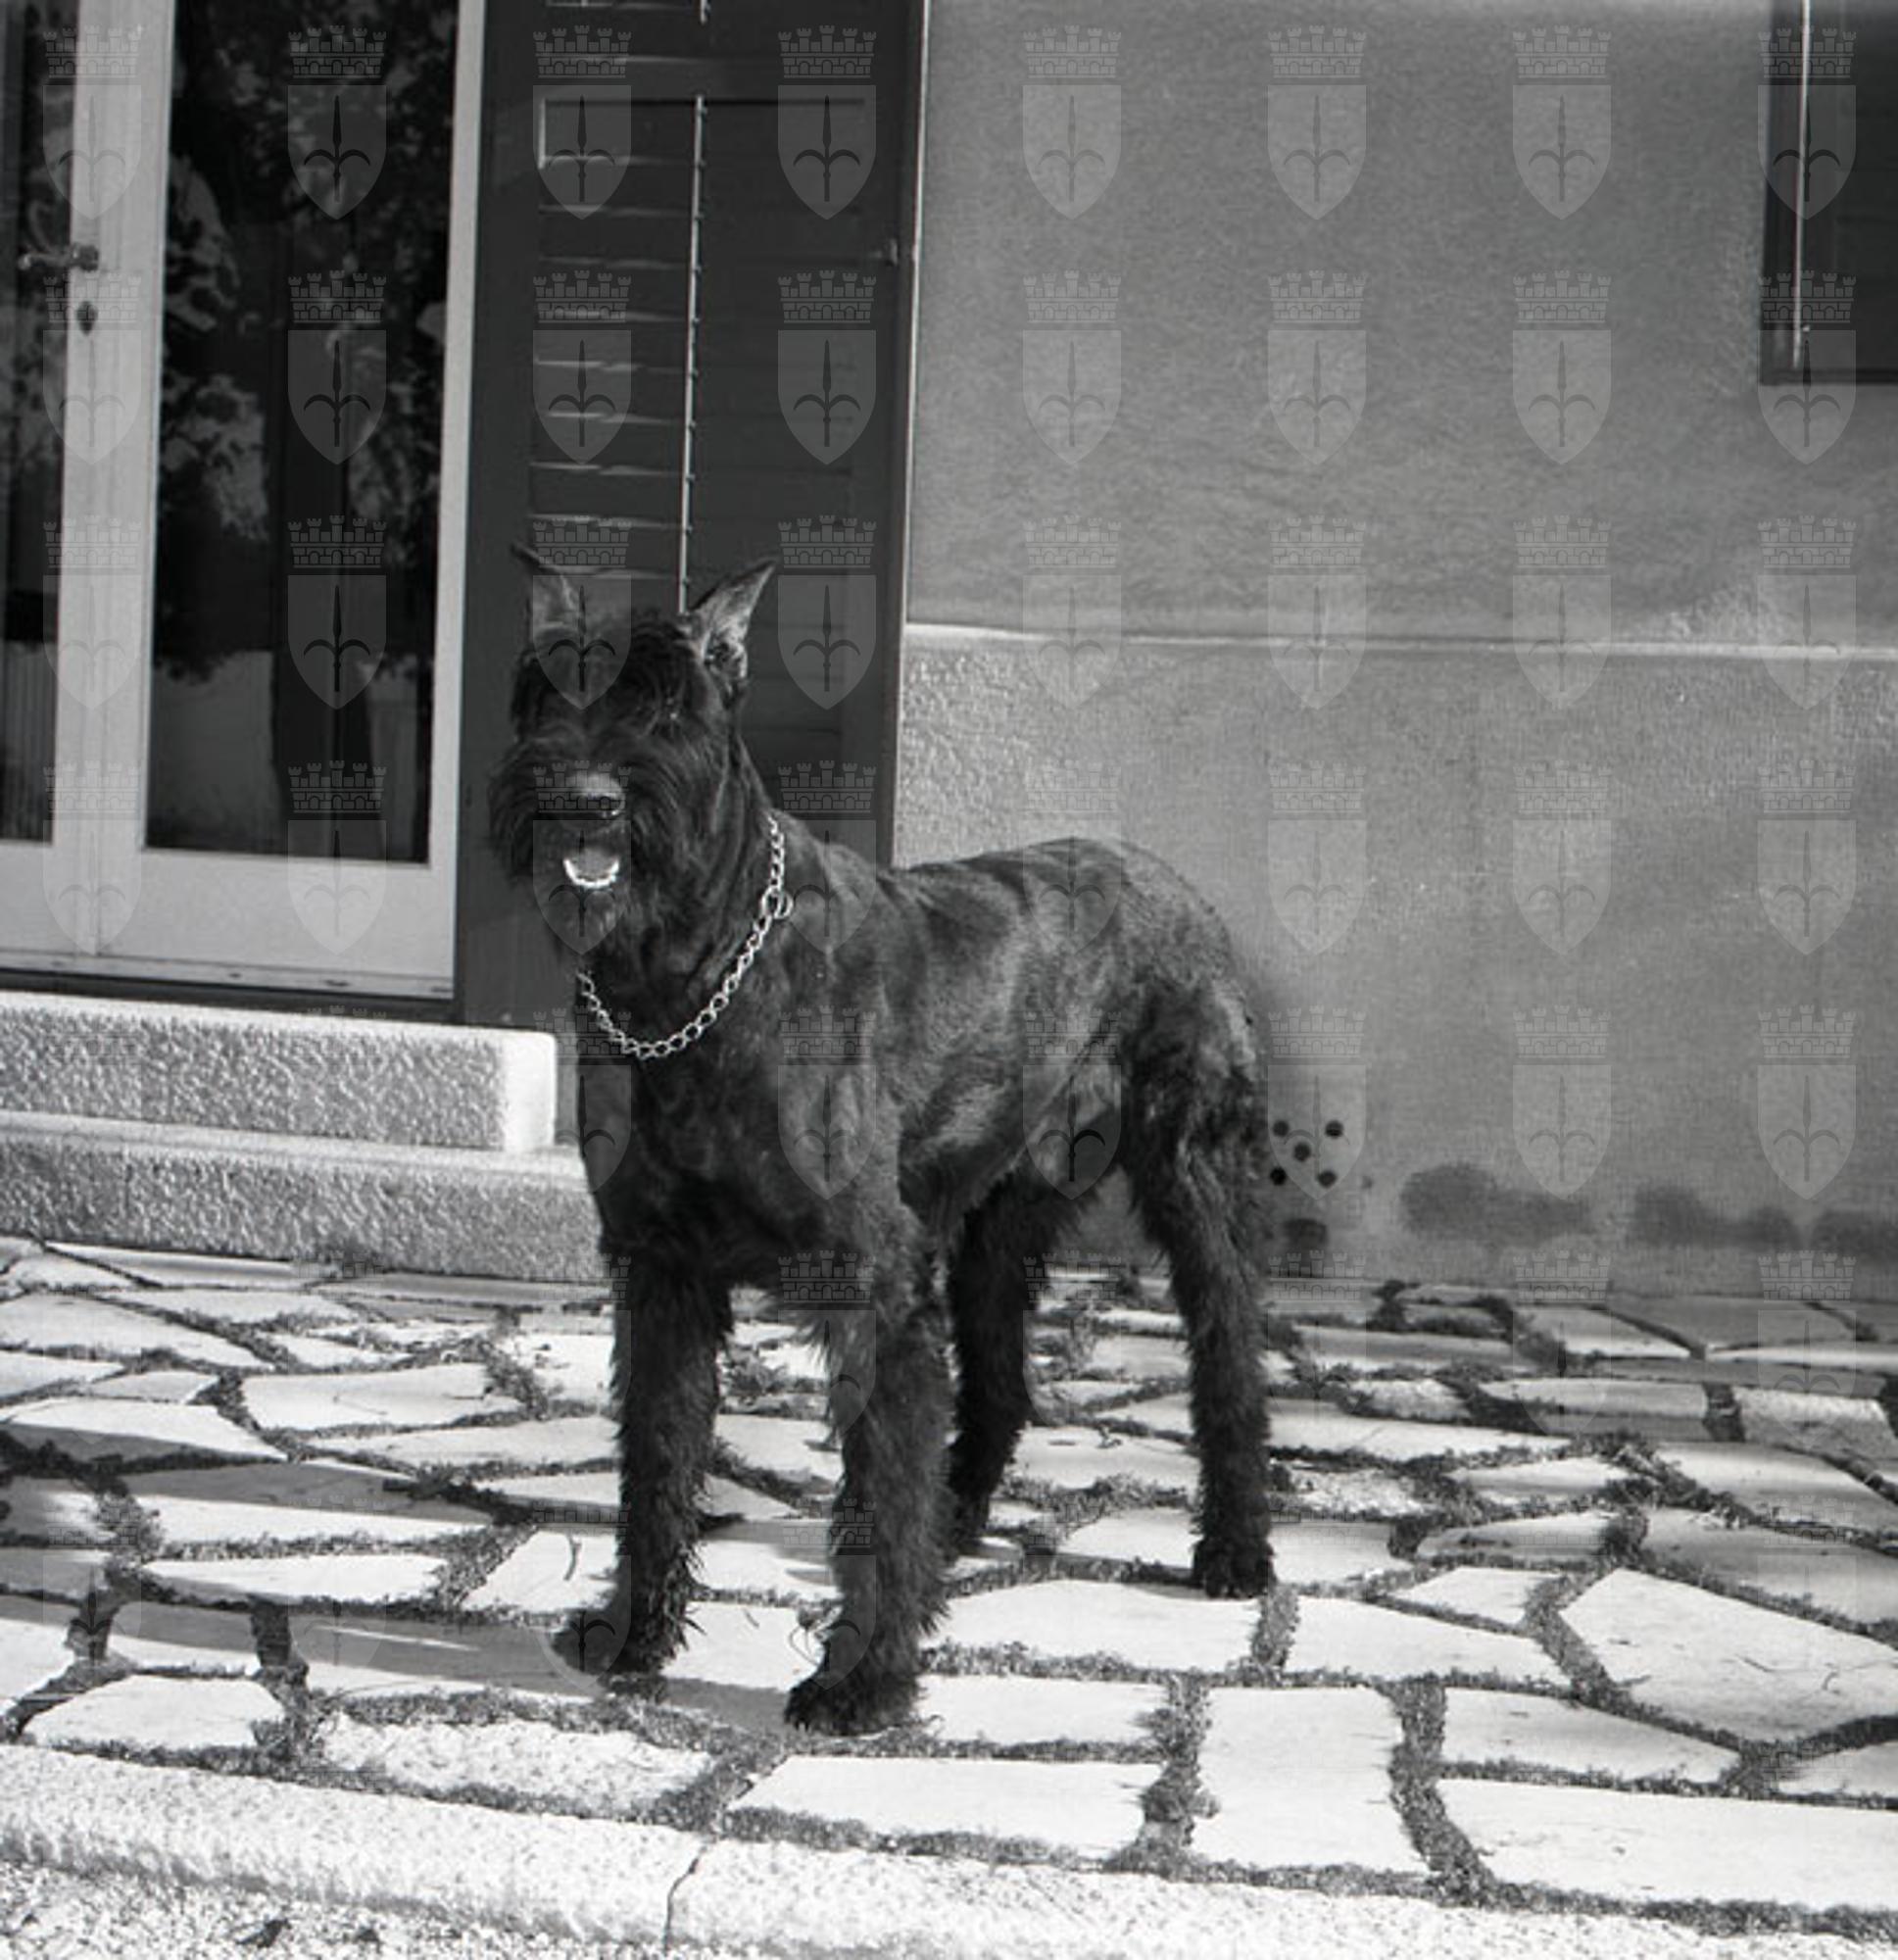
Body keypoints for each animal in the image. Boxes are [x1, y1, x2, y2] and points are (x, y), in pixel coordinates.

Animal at [489, 562, 1274, 1733]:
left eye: (669, 705)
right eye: (546, 694)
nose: (585, 798)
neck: (689, 983)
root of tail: (1171, 879)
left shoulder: (869, 1284)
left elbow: (872, 1490)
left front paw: (863, 1677)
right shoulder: (658, 1270)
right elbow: (656, 1462)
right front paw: (635, 1631)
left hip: (1193, 1183)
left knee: (1227, 1353)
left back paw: (1234, 1548)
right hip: (995, 1230)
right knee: (998, 1377)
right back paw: (957, 1521)